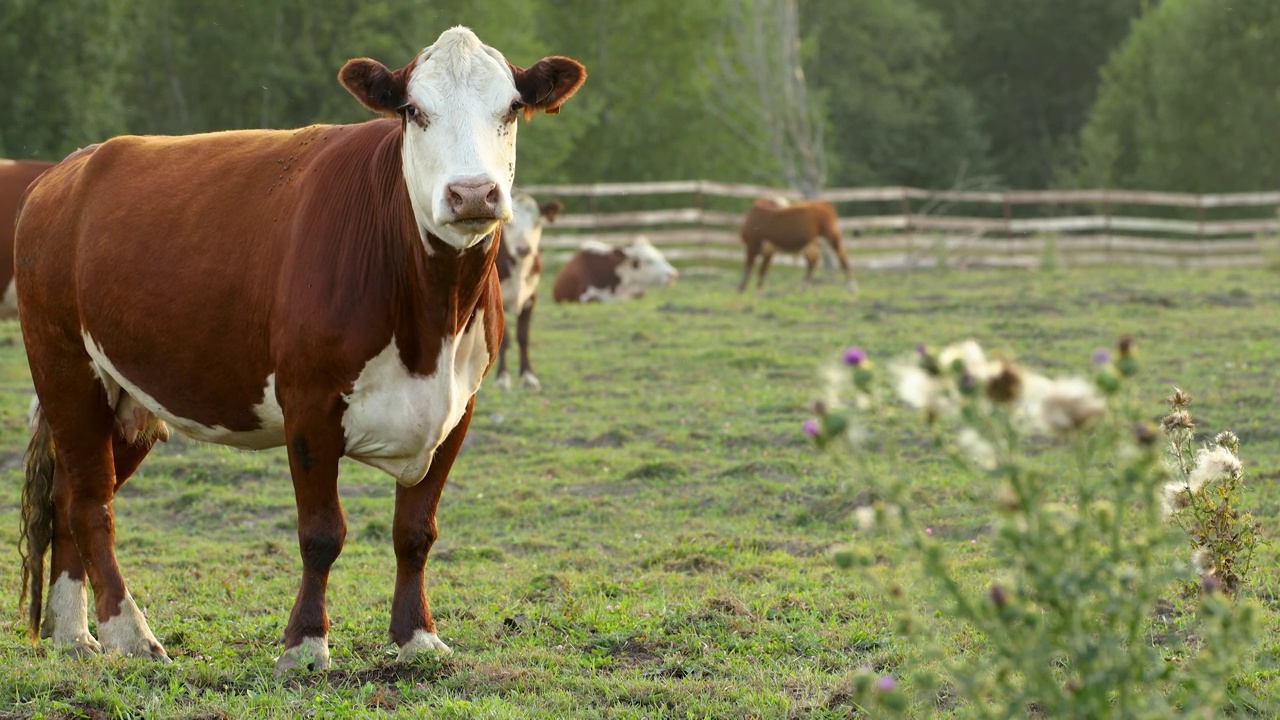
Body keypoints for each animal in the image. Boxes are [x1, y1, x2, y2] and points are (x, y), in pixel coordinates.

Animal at [491, 190, 563, 386]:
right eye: (509, 223)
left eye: (537, 221)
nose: (523, 248)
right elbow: (504, 339)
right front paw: (502, 377)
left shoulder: (531, 298)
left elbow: (523, 337)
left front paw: (528, 375)